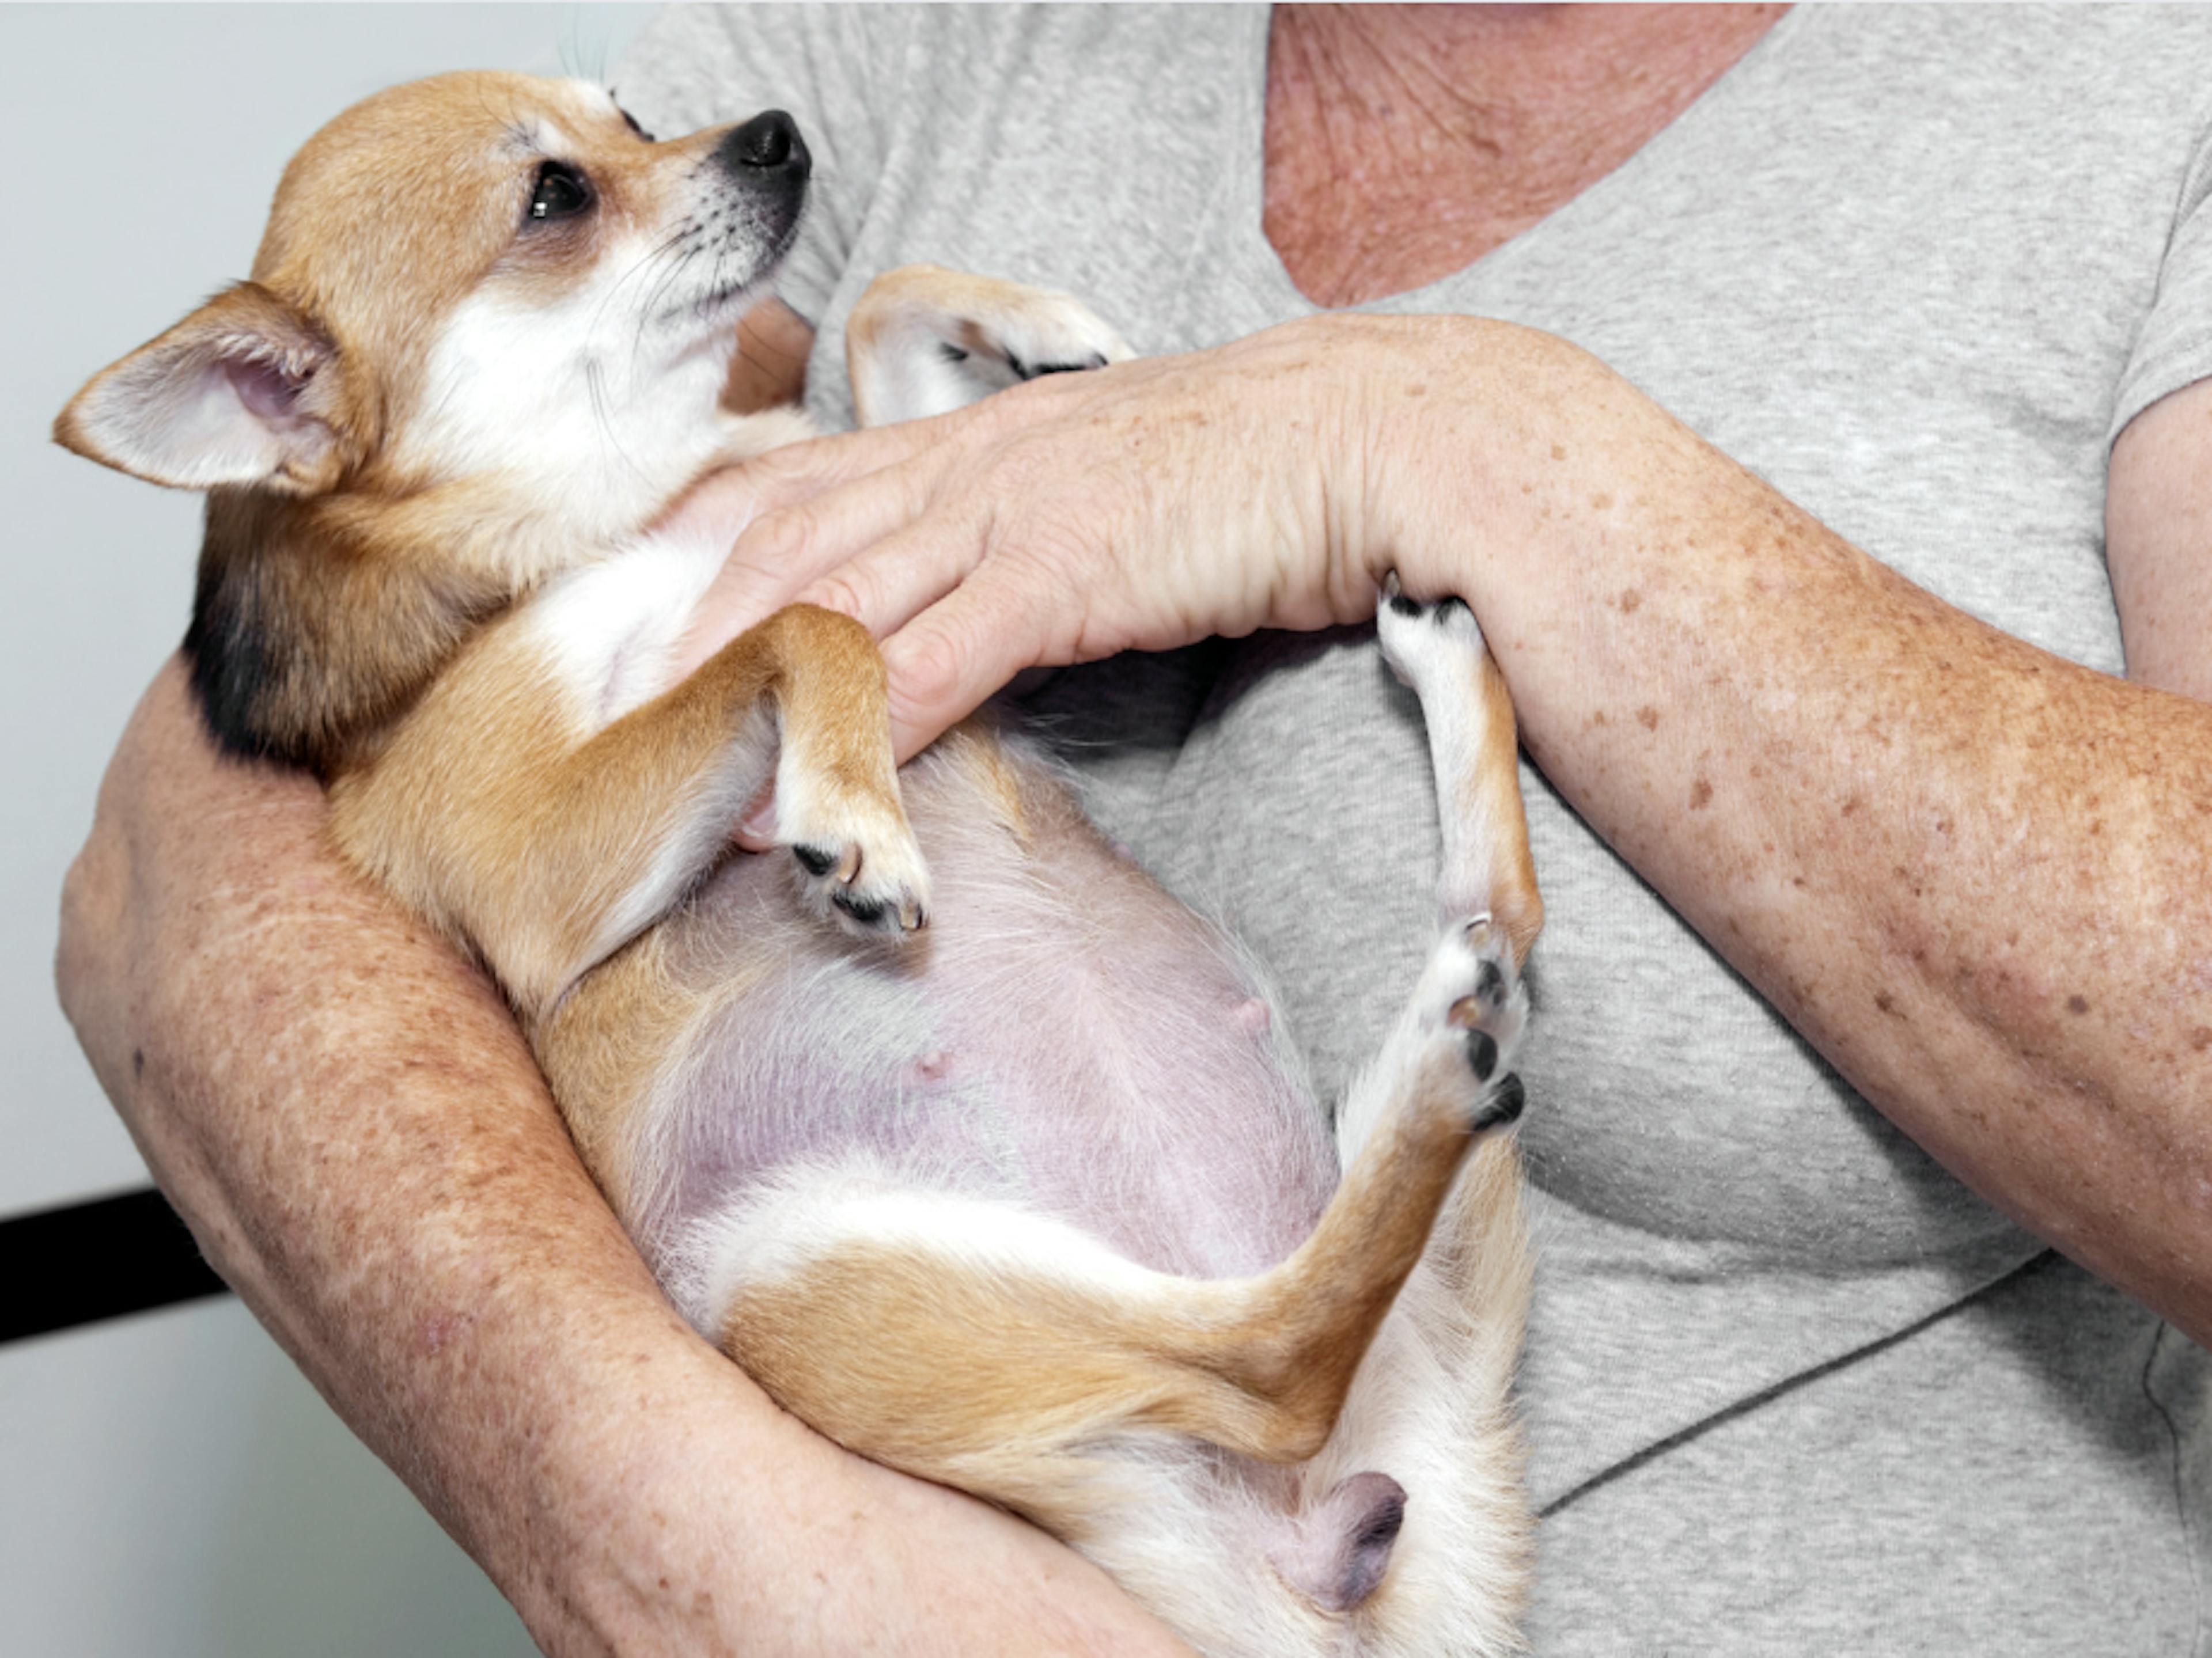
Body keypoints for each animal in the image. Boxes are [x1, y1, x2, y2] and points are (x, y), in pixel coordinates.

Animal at [56, 71, 1539, 1658]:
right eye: (554, 198)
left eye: (631, 114)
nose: (771, 131)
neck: (647, 498)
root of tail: (1300, 1567)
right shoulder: (533, 851)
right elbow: (805, 620)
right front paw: (854, 812)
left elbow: (876, 324)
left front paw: (1034, 328)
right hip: (811, 1267)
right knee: (1273, 1355)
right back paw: (1440, 1053)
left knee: (1498, 928)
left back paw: (1445, 709)